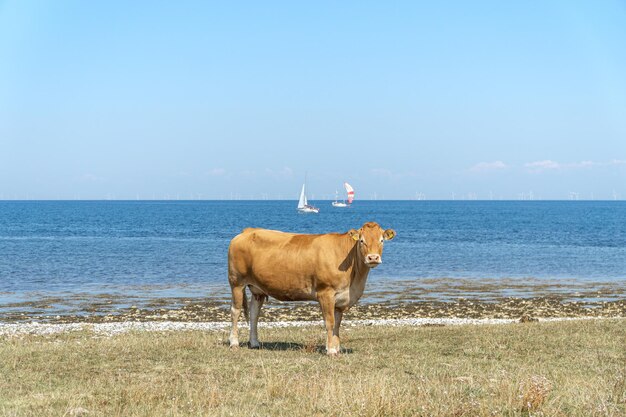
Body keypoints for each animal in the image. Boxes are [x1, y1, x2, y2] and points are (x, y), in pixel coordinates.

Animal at [225, 221, 394, 354]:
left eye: (381, 240)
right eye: (361, 241)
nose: (373, 257)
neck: (354, 282)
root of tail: (248, 231)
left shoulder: (341, 298)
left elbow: (337, 324)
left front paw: (336, 347)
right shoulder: (325, 293)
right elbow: (330, 322)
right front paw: (331, 350)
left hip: (257, 289)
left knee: (254, 314)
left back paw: (254, 343)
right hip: (237, 282)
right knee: (235, 311)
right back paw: (234, 343)